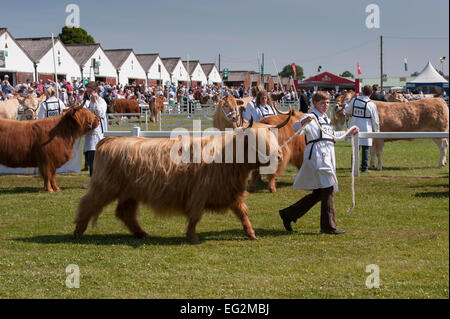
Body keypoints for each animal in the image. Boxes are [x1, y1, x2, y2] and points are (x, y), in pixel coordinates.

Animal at [74, 115, 292, 242]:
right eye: (256, 141)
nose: (279, 156)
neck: (227, 157)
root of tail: (109, 140)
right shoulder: (199, 194)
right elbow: (195, 216)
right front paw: (192, 237)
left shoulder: (231, 193)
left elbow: (243, 213)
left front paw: (251, 233)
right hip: (105, 187)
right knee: (88, 204)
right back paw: (78, 231)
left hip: (130, 192)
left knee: (125, 212)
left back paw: (141, 233)